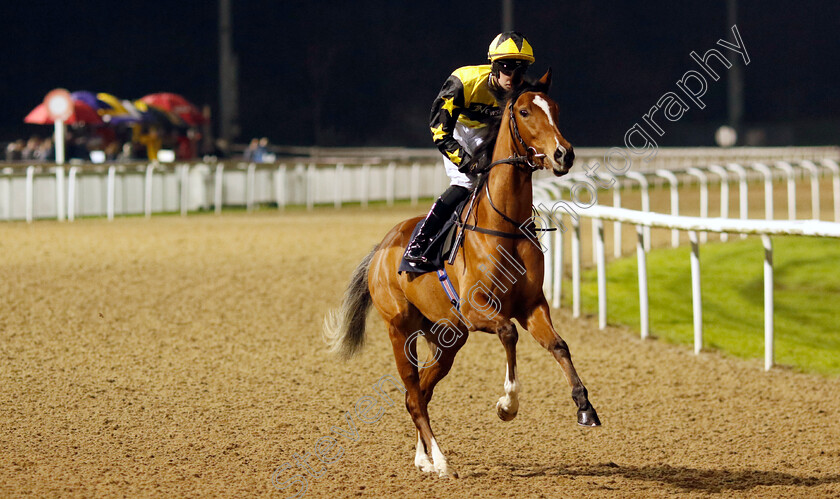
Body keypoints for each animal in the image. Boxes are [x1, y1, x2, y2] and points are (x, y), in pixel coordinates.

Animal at [324, 68, 600, 478]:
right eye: (523, 111)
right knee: (413, 393)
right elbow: (508, 332)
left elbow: (559, 345)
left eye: (555, 108)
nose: (563, 153)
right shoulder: (476, 310)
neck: (504, 226)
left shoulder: (532, 304)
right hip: (401, 329)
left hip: (445, 337)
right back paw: (440, 460)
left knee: (418, 393)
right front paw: (507, 405)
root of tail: (382, 248)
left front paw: (585, 407)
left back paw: (423, 457)